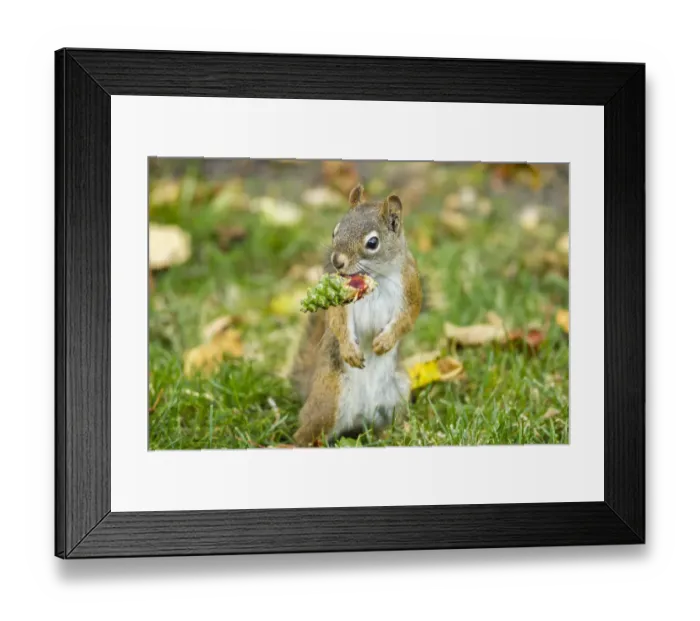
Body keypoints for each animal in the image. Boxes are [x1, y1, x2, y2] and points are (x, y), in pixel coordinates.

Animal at [290, 183, 422, 446]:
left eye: (372, 242)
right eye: (335, 231)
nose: (336, 261)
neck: (376, 278)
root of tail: (362, 418)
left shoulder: (411, 287)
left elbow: (408, 318)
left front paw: (384, 342)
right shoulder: (342, 299)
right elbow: (338, 322)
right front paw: (350, 351)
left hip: (397, 395)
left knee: (388, 425)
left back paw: (400, 432)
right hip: (328, 400)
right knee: (305, 433)